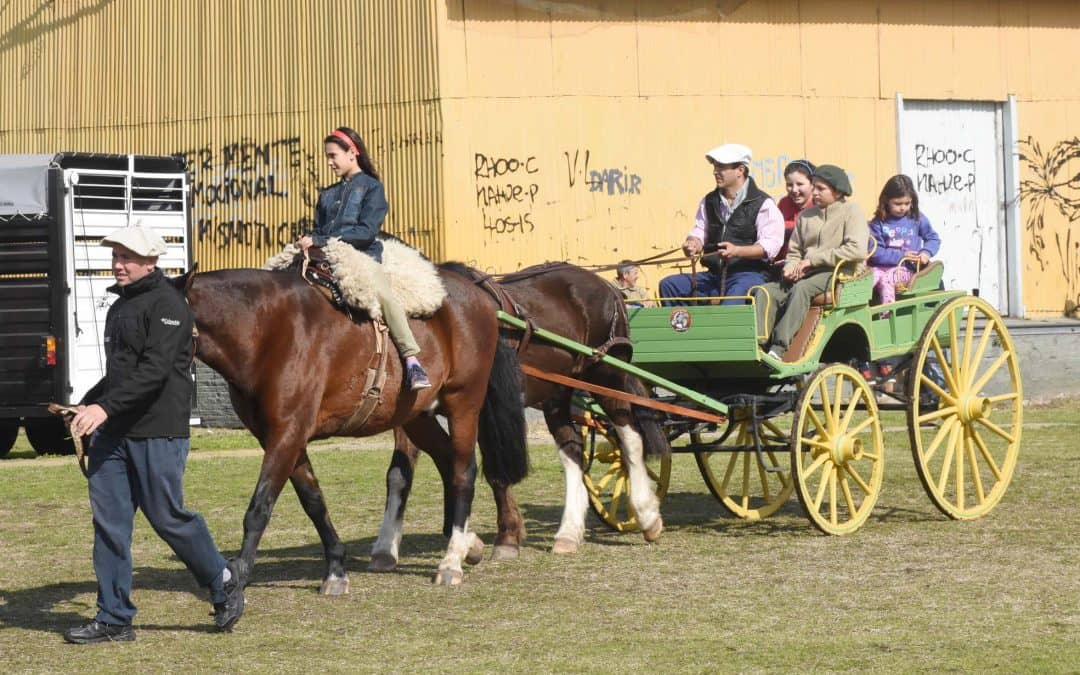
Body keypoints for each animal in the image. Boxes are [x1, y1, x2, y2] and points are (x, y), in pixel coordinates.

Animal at [173, 264, 529, 591]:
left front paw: (238, 583)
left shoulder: (286, 434)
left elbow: (259, 508)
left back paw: (451, 560)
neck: (268, 330)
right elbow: (313, 501)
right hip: (416, 415)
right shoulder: (282, 437)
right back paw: (467, 543)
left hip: (463, 402)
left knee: (463, 472)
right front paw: (335, 568)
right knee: (446, 460)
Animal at [368, 262, 672, 569]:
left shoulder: (484, 406)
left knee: (629, 436)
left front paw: (507, 538)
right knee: (572, 448)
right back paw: (569, 532)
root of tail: (606, 285)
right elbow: (399, 473)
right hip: (558, 393)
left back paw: (647, 515)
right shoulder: (412, 414)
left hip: (607, 374)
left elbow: (494, 472)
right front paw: (386, 547)